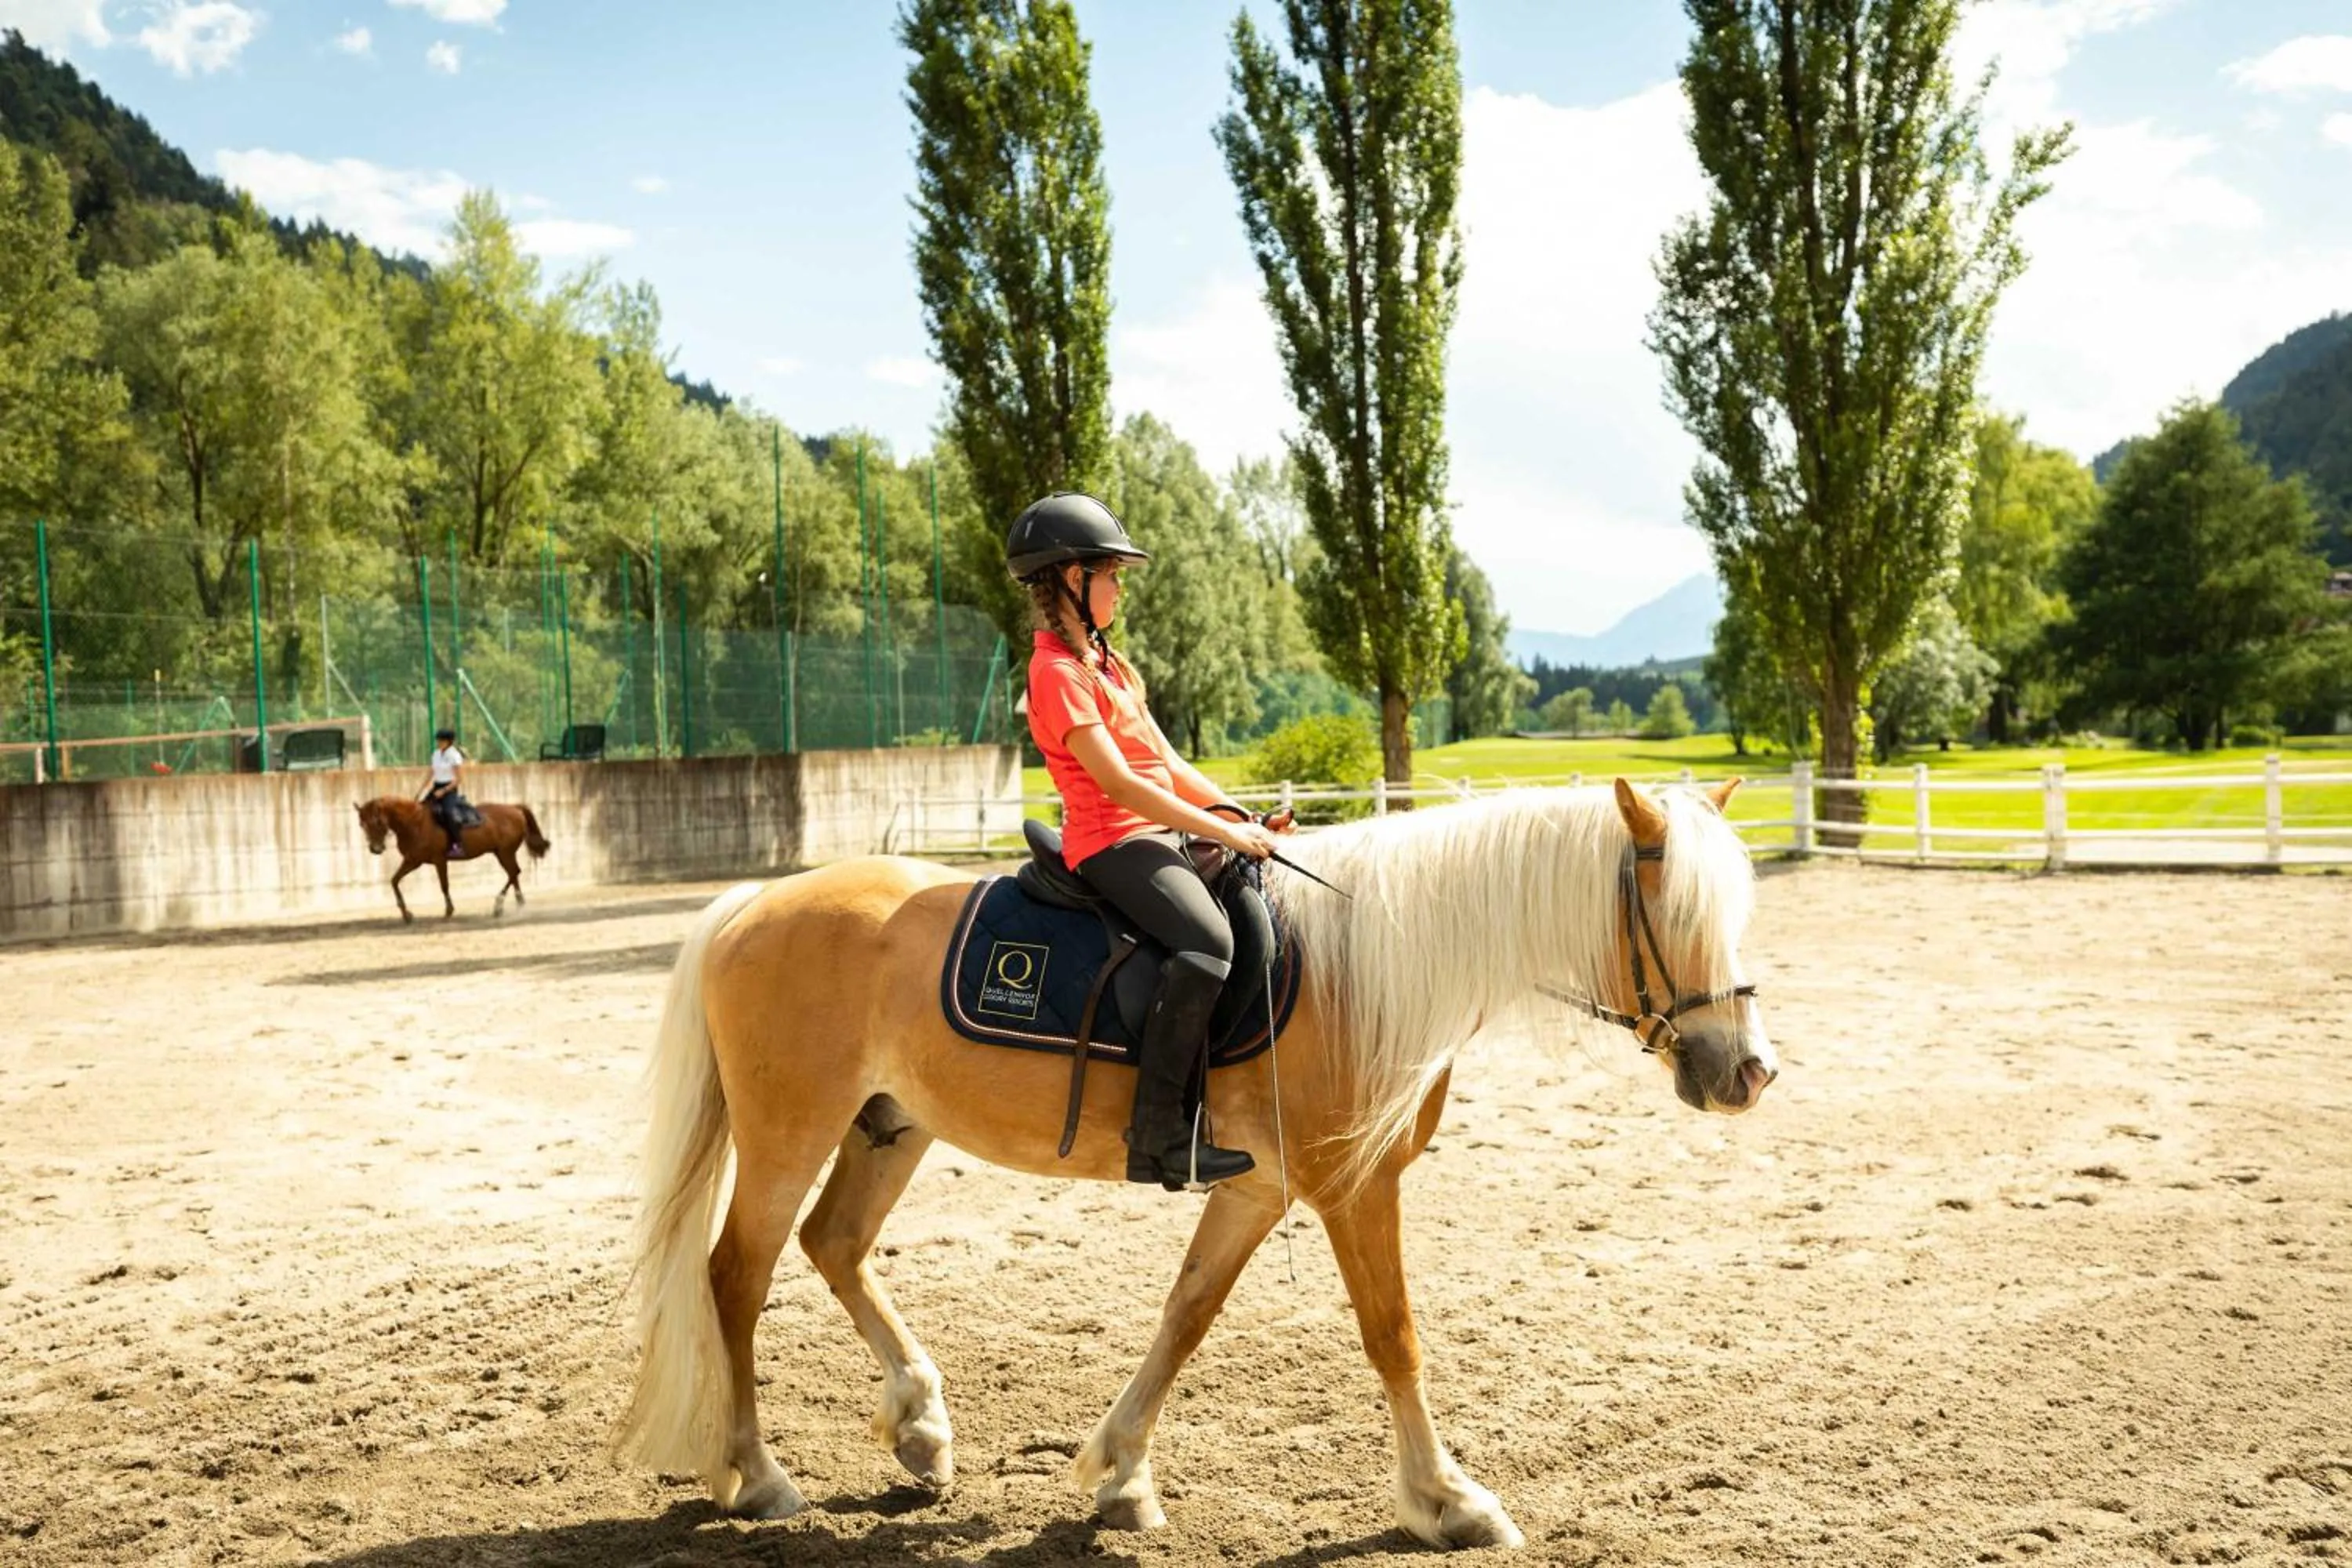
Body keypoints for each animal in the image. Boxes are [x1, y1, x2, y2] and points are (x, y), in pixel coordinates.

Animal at [353, 795, 550, 922]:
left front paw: (449, 911)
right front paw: (406, 915)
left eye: (378, 821)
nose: (375, 849)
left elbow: (444, 885)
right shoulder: (413, 861)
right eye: (362, 824)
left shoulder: (439, 860)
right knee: (514, 874)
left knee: (514, 872)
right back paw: (517, 905)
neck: (415, 823)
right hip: (502, 853)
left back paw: (499, 906)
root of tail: (515, 808)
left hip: (505, 852)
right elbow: (394, 881)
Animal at [616, 777, 1775, 1550]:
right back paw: (759, 1477)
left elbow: (1186, 1313)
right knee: (737, 1276)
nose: (1750, 1070)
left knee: (836, 1245)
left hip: (889, 1125)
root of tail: (752, 902)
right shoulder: (1353, 1186)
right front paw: (1449, 1500)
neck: (1366, 970)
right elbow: (1393, 1337)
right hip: (789, 1132)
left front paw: (1121, 1476)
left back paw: (921, 1427)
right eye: (1675, 918)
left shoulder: (1258, 1187)